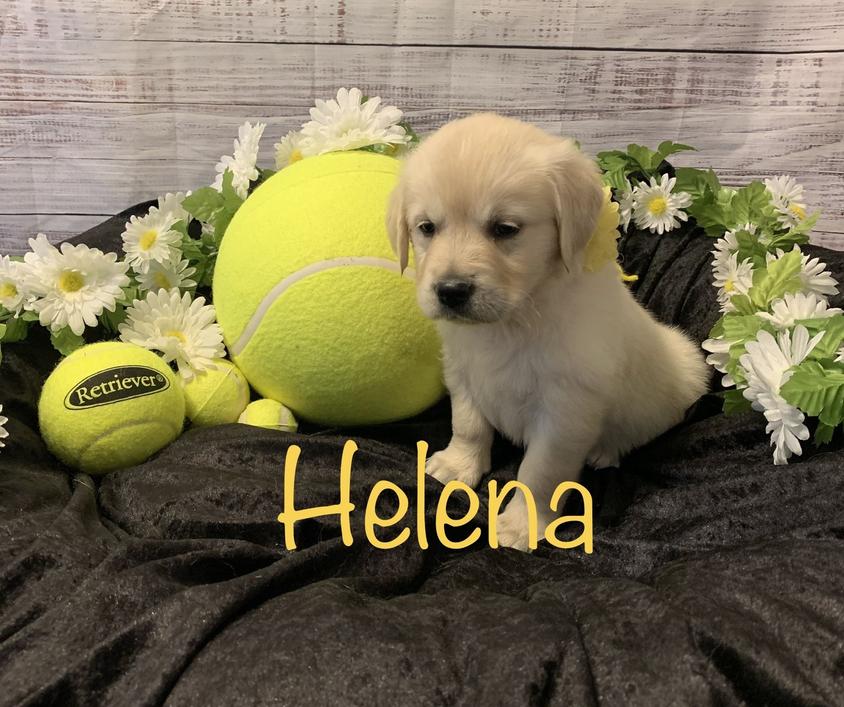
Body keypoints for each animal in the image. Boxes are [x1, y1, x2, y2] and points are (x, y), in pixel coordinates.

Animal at [386, 113, 708, 552]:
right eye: (427, 227)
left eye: (505, 229)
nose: (450, 291)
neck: (514, 319)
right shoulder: (462, 372)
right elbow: (467, 424)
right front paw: (457, 464)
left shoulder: (565, 407)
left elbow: (541, 473)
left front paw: (522, 525)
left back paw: (606, 451)